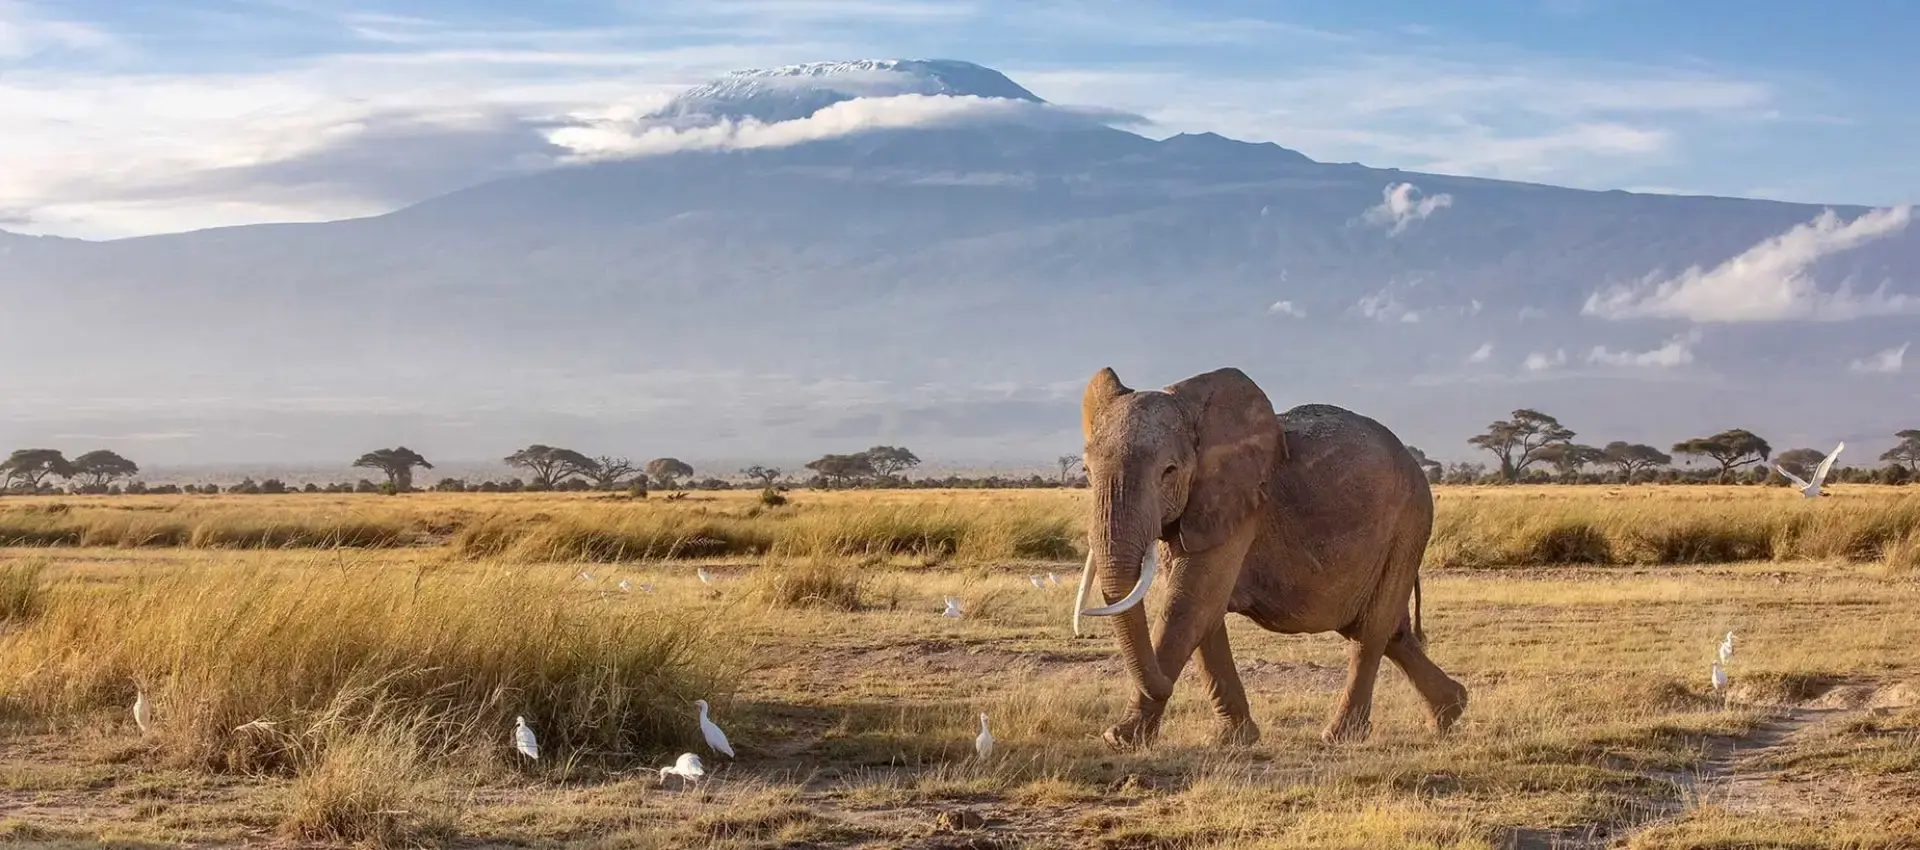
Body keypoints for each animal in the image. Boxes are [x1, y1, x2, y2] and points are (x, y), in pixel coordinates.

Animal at [1070, 365, 1467, 750]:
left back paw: (1340, 736)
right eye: (1086, 472)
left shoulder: (1240, 505)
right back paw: (1451, 711)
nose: (1165, 686)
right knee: (1389, 631)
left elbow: (1190, 606)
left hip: (1409, 523)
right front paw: (1234, 740)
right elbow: (1205, 615)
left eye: (1169, 472)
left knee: (1370, 630)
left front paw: (1119, 739)